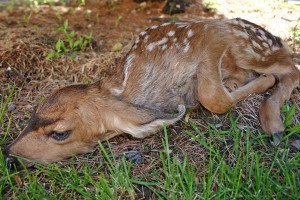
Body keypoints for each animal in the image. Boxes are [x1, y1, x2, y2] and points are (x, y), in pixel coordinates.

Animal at [3, 18, 298, 169]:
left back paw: (274, 123)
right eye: (33, 113)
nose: (8, 157)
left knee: (290, 65)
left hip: (252, 49)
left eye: (60, 133)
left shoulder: (213, 37)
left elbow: (212, 98)